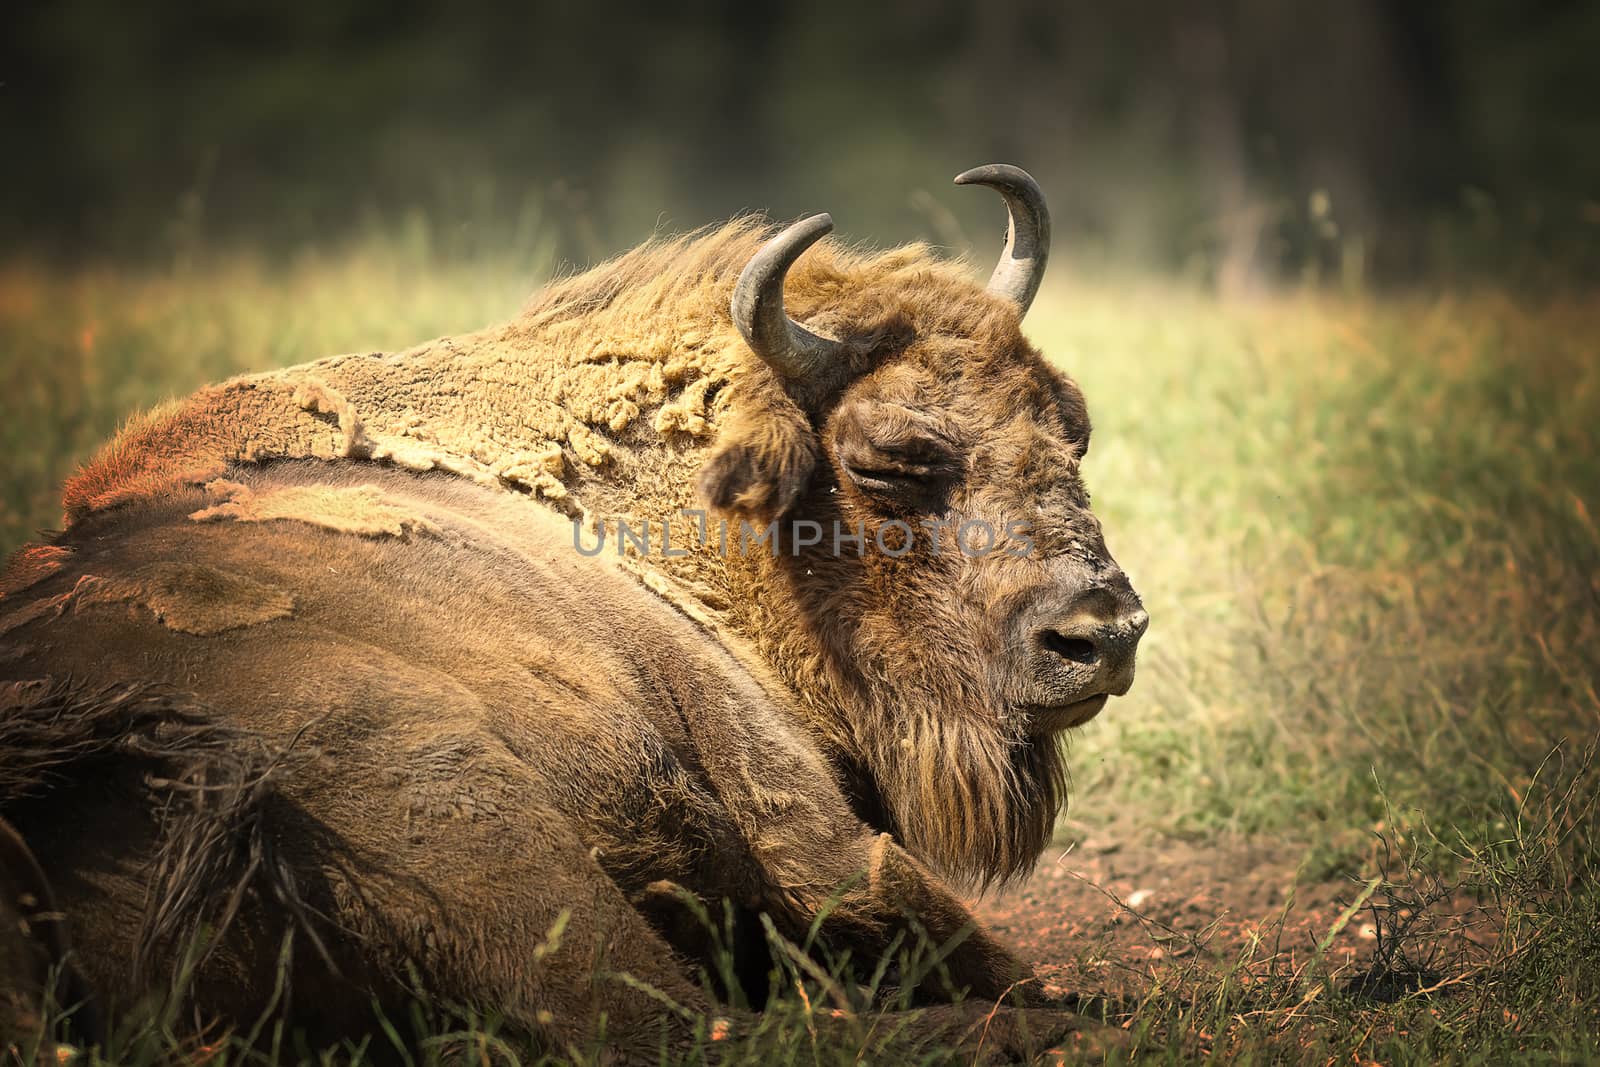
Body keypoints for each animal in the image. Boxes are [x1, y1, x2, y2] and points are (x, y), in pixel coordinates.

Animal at [3, 164, 1152, 1062]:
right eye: (886, 460)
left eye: (1073, 427)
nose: (1099, 634)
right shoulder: (803, 823)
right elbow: (907, 905)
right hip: (457, 794)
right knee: (678, 1030)